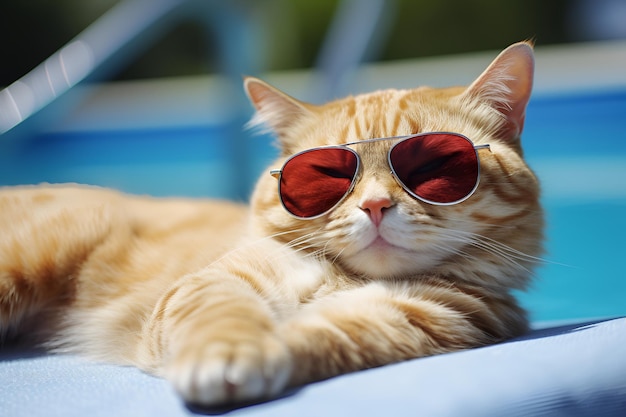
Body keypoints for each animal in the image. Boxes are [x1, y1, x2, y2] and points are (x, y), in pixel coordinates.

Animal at [0, 41, 540, 404]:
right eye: (327, 173)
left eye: (430, 168)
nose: (374, 206)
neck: (345, 279)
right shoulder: (213, 282)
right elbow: (224, 317)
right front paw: (227, 356)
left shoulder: (416, 320)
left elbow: (328, 336)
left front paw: (271, 350)